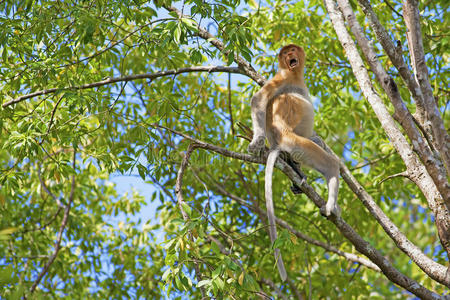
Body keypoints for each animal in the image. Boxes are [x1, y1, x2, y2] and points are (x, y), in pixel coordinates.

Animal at [248, 44, 340, 282]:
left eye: (293, 50)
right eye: (286, 52)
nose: (290, 56)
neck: (296, 76)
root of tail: (277, 143)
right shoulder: (281, 78)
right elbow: (258, 99)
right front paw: (256, 141)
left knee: (317, 147)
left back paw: (297, 173)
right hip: (295, 142)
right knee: (330, 164)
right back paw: (331, 205)